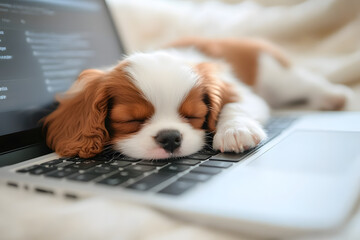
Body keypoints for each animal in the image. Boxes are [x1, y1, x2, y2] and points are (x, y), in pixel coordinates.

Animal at [43, 38, 352, 159]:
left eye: (193, 116)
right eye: (131, 120)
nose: (170, 137)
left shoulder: (242, 92)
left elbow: (233, 105)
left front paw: (234, 131)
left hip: (278, 75)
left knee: (308, 82)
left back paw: (335, 97)